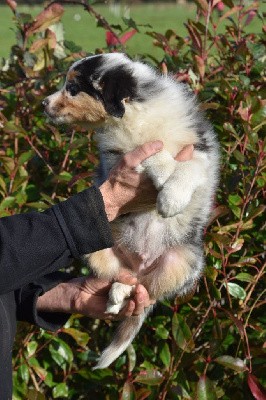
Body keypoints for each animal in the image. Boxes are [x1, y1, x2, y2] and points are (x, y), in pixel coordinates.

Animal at [43, 53, 218, 368]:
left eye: (72, 89)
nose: (43, 103)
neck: (135, 116)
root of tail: (140, 264)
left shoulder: (200, 148)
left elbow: (189, 167)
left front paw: (172, 197)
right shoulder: (120, 154)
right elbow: (152, 150)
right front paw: (164, 173)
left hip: (186, 261)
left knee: (147, 292)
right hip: (99, 247)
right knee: (124, 278)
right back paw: (117, 294)